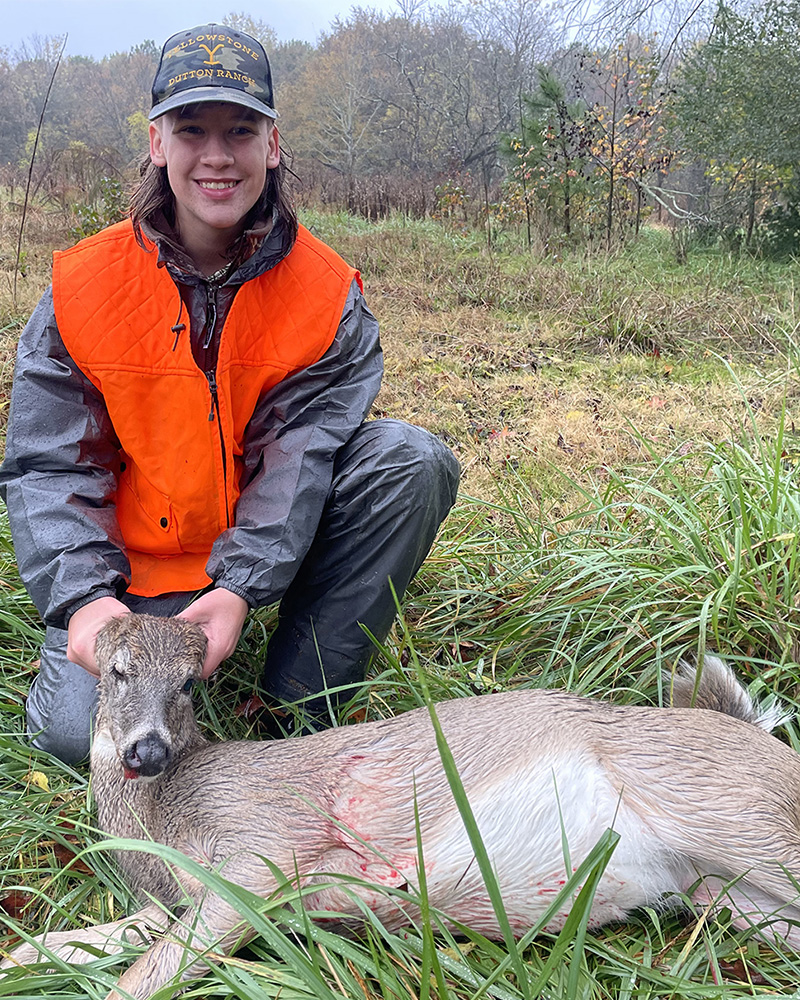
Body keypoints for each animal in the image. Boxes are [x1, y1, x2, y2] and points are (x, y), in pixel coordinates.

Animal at [4, 612, 800, 1000]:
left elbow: (144, 978)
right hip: (728, 892)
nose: (147, 752)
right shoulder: (175, 897)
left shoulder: (266, 849)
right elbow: (98, 938)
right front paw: (26, 958)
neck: (164, 818)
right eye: (117, 671)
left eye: (190, 683)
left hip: (741, 818)